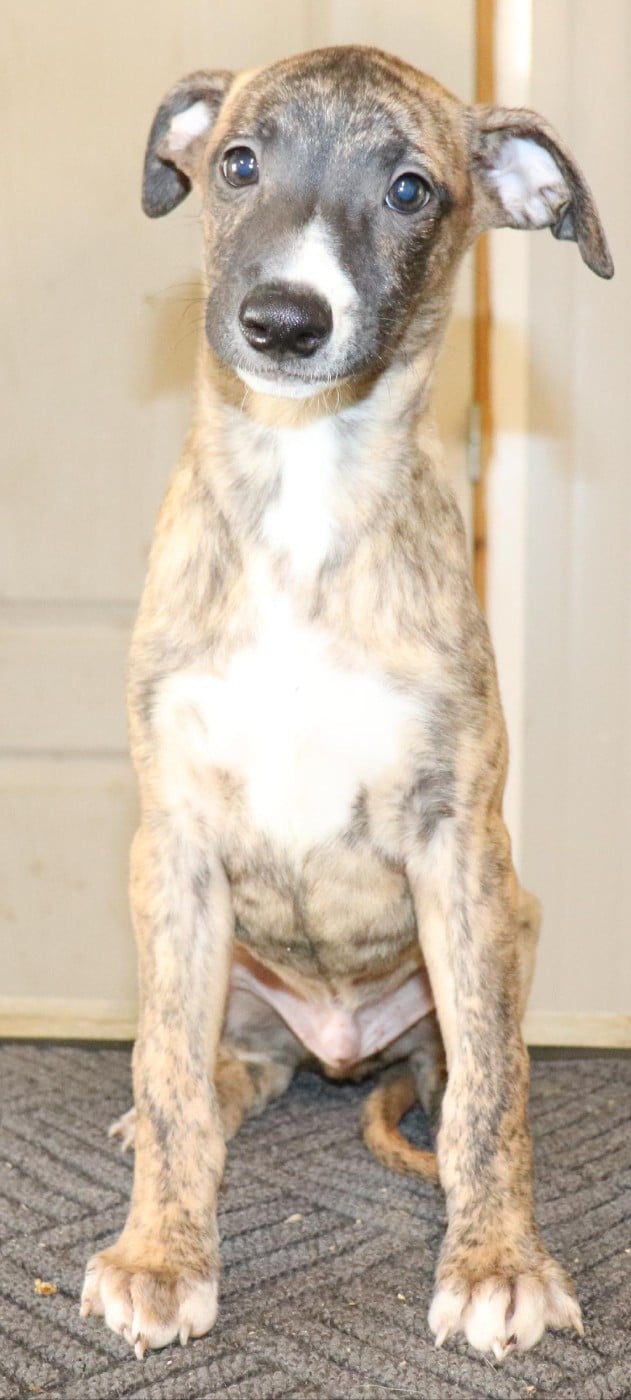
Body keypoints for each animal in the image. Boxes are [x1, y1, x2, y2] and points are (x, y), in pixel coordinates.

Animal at [80, 45, 613, 1361]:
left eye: (412, 190)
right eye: (236, 162)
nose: (283, 319)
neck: (303, 485)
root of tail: (336, 1048)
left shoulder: (459, 846)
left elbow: (491, 1092)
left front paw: (497, 1262)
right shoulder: (173, 845)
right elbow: (168, 1065)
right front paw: (161, 1251)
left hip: (505, 926)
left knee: (467, 1071)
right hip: (222, 959)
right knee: (211, 1063)